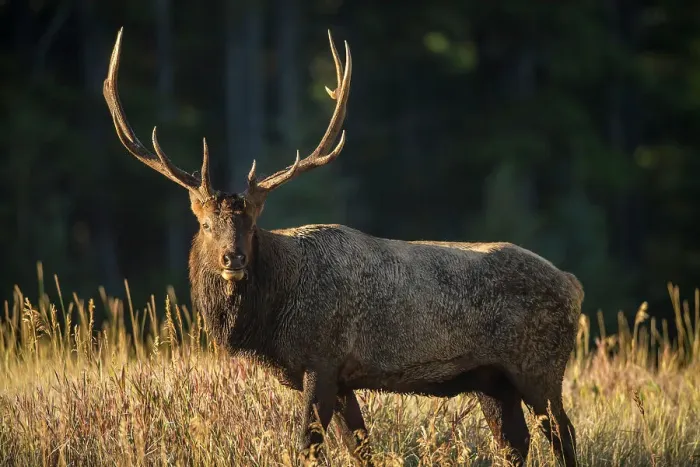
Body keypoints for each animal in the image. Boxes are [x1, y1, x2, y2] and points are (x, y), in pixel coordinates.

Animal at [103, 27, 583, 467]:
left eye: (253, 224)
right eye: (204, 224)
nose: (232, 258)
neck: (271, 316)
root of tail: (573, 284)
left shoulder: (322, 359)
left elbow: (308, 447)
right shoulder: (342, 378)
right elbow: (360, 448)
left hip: (540, 366)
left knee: (563, 434)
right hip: (491, 380)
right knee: (516, 443)